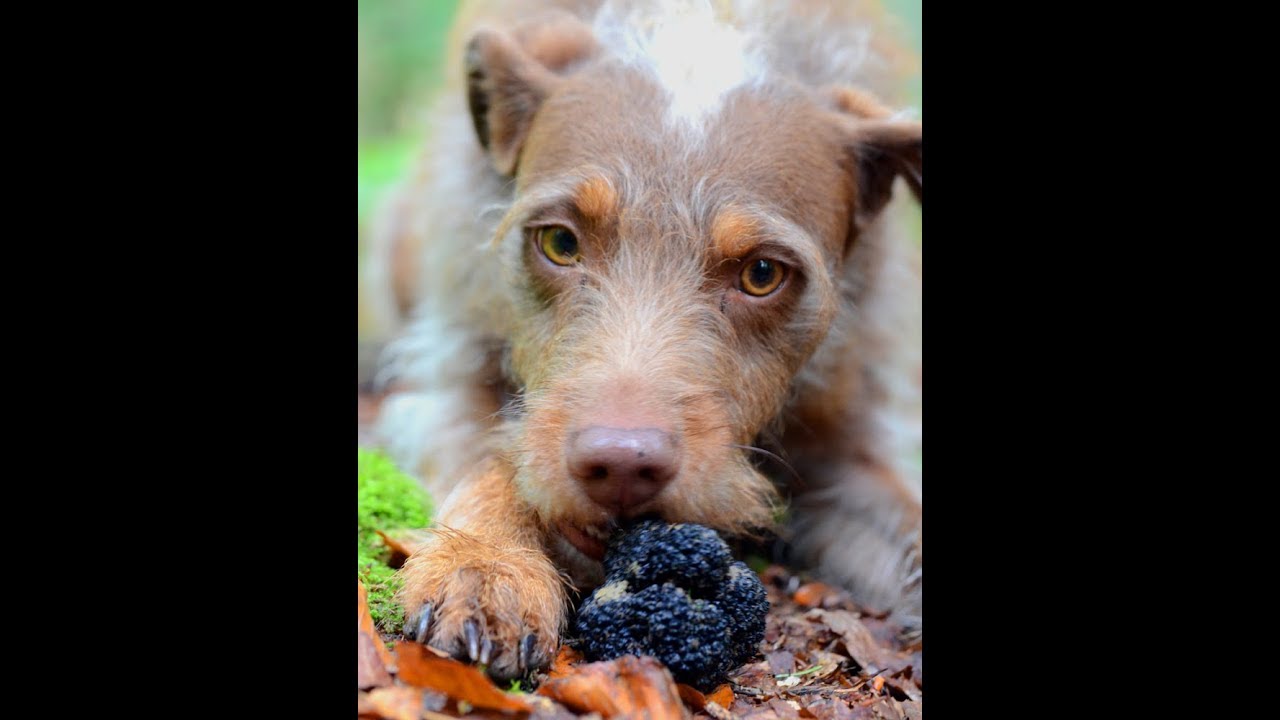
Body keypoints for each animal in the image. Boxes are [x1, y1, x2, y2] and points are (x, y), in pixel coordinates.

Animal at [366, 0, 926, 676]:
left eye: (762, 273)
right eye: (560, 242)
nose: (621, 467)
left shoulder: (850, 445)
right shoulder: (449, 376)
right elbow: (488, 459)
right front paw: (485, 566)